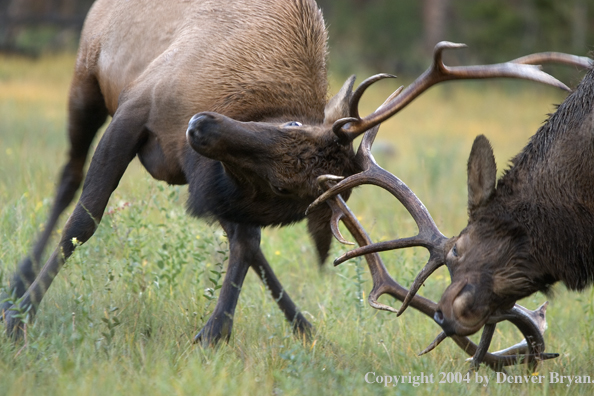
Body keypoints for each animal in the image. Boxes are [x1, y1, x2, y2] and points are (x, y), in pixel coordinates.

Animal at [0, 0, 572, 350]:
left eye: (279, 186)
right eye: (292, 124)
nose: (200, 124)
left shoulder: (222, 187)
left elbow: (246, 247)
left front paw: (218, 332)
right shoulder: (136, 107)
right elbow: (85, 219)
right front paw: (20, 318)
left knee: (246, 245)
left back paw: (302, 325)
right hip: (86, 77)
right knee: (67, 178)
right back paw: (19, 280)